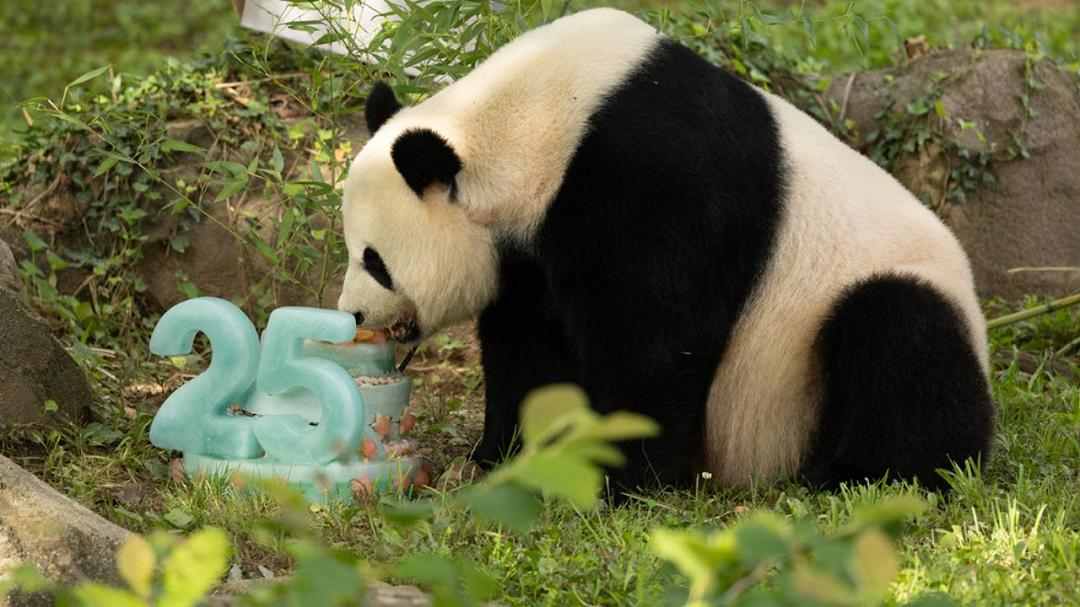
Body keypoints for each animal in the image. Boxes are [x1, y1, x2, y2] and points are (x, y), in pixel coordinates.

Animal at [334, 9, 993, 492]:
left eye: (374, 261)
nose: (354, 314)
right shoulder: (529, 249)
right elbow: (527, 345)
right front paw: (504, 454)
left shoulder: (653, 178)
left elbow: (655, 343)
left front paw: (620, 478)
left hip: (841, 327)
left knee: (903, 340)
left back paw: (860, 476)